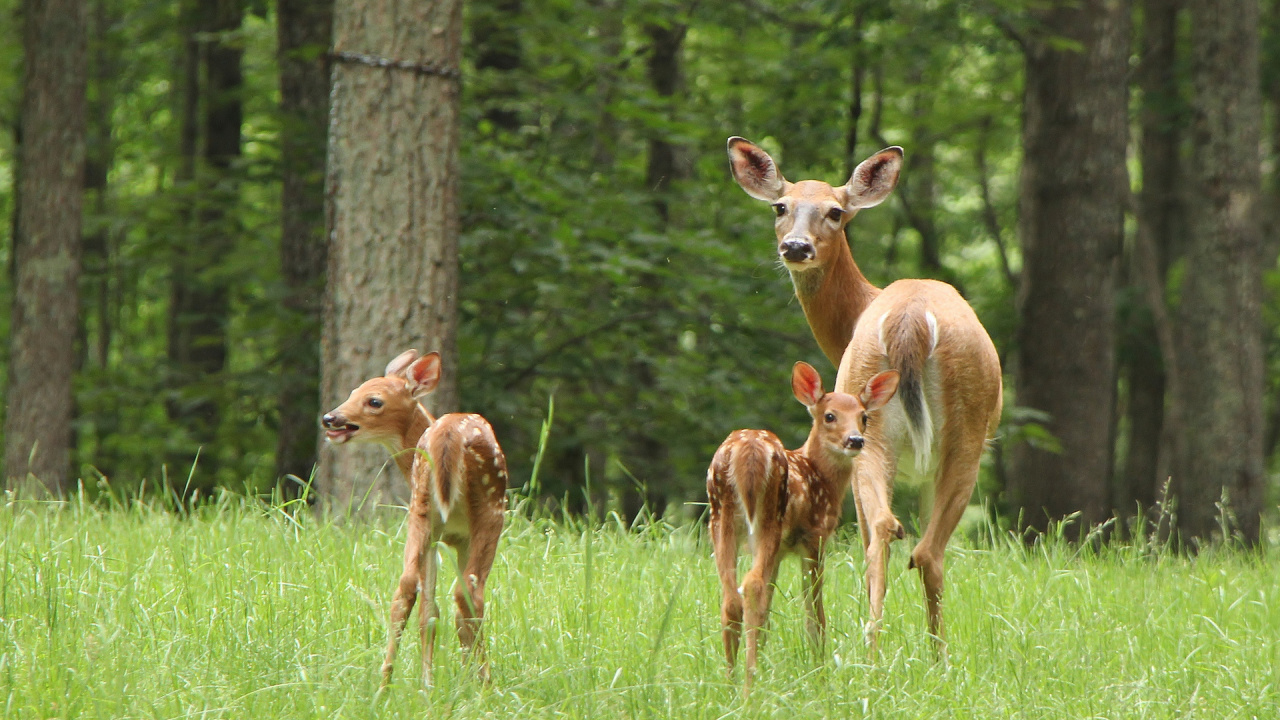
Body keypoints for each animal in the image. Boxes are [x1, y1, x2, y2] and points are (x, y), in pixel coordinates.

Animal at [320, 349, 507, 687]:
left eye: (374, 400)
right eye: (353, 393)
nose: (331, 418)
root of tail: (447, 434)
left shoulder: (442, 537)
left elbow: (430, 611)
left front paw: (439, 682)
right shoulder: (460, 537)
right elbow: (450, 611)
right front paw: (466, 680)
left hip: (420, 508)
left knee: (406, 586)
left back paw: (388, 684)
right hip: (491, 509)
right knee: (469, 593)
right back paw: (486, 684)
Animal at [708, 361, 899, 691]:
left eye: (864, 416)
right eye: (830, 415)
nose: (855, 440)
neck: (820, 476)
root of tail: (746, 452)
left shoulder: (780, 553)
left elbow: (767, 611)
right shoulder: (815, 537)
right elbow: (814, 612)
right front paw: (820, 674)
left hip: (720, 516)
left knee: (732, 598)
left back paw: (731, 684)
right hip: (769, 517)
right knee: (751, 585)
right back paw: (748, 687)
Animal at [726, 137, 1003, 658]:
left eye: (835, 212)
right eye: (780, 206)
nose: (796, 246)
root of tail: (911, 319)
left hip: (888, 425)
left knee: (889, 535)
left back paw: (882, 653)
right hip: (955, 434)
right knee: (916, 546)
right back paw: (918, 656)